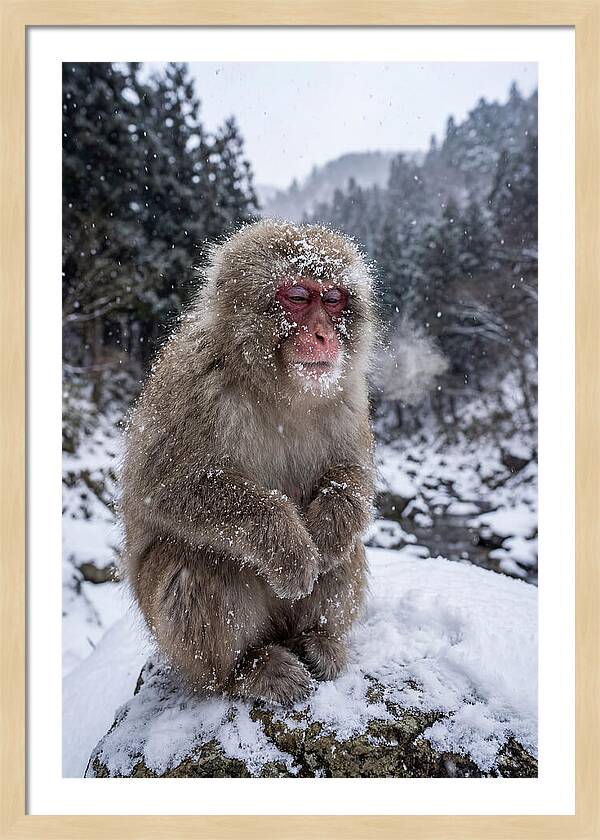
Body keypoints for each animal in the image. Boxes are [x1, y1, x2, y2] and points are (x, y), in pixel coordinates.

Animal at [120, 220, 376, 705]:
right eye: (298, 296)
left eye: (334, 299)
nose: (324, 335)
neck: (279, 389)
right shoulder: (193, 382)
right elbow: (163, 487)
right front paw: (290, 547)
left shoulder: (349, 395)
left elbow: (352, 474)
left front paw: (327, 532)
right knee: (196, 560)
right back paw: (245, 671)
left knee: (348, 550)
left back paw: (318, 640)